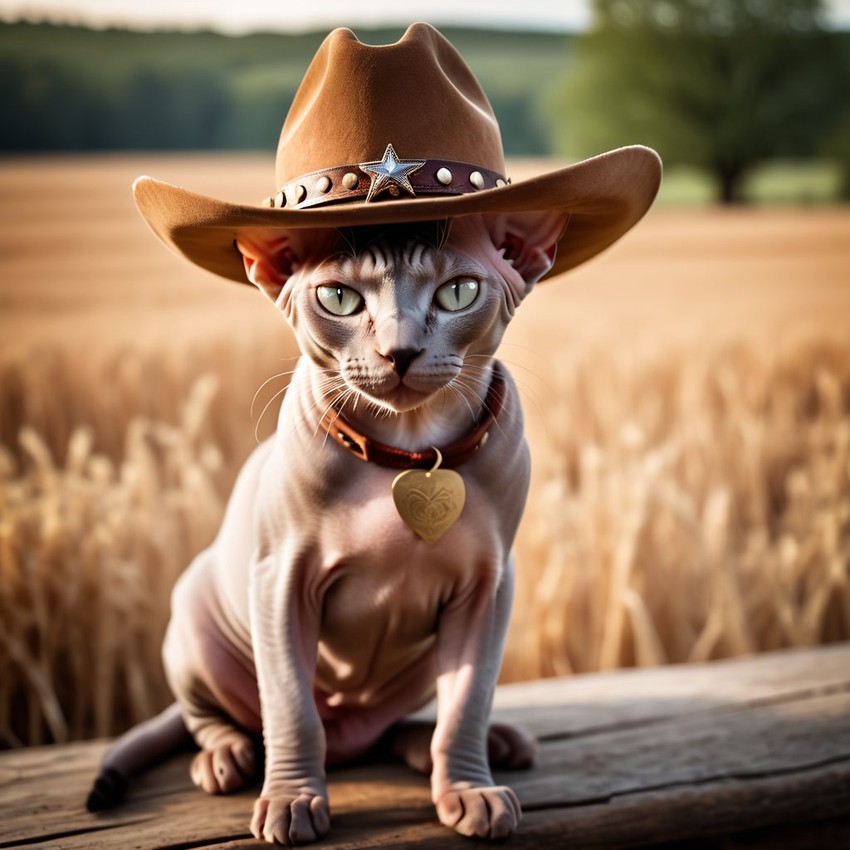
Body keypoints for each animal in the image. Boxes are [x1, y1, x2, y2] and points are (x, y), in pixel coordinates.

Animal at [86, 207, 568, 840]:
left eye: (458, 292)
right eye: (339, 298)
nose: (399, 352)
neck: (409, 449)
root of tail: (348, 742)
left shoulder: (487, 588)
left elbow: (466, 702)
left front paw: (468, 789)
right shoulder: (280, 582)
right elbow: (292, 708)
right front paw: (291, 800)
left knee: (397, 728)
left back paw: (476, 742)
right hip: (192, 618)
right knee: (209, 714)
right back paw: (225, 756)